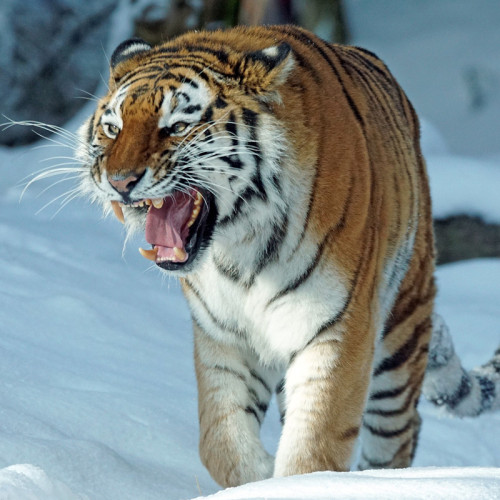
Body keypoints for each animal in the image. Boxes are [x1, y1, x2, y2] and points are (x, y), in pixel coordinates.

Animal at [75, 24, 500, 488]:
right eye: (113, 128)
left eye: (178, 126)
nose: (119, 182)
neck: (238, 247)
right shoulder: (224, 335)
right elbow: (219, 440)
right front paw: (258, 478)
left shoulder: (337, 328)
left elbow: (315, 445)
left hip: (401, 331)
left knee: (399, 432)